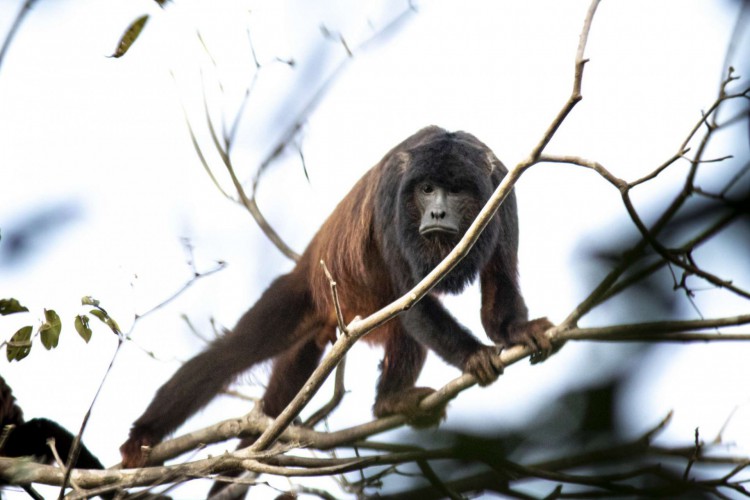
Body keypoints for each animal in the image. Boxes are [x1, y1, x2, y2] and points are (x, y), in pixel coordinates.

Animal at [120, 125, 556, 468]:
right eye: (427, 189)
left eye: (455, 190)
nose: (435, 214)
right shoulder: (390, 197)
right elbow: (412, 299)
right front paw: (474, 355)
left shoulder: (503, 189)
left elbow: (498, 286)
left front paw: (518, 330)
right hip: (301, 293)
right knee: (231, 352)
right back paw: (142, 436)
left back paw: (389, 402)